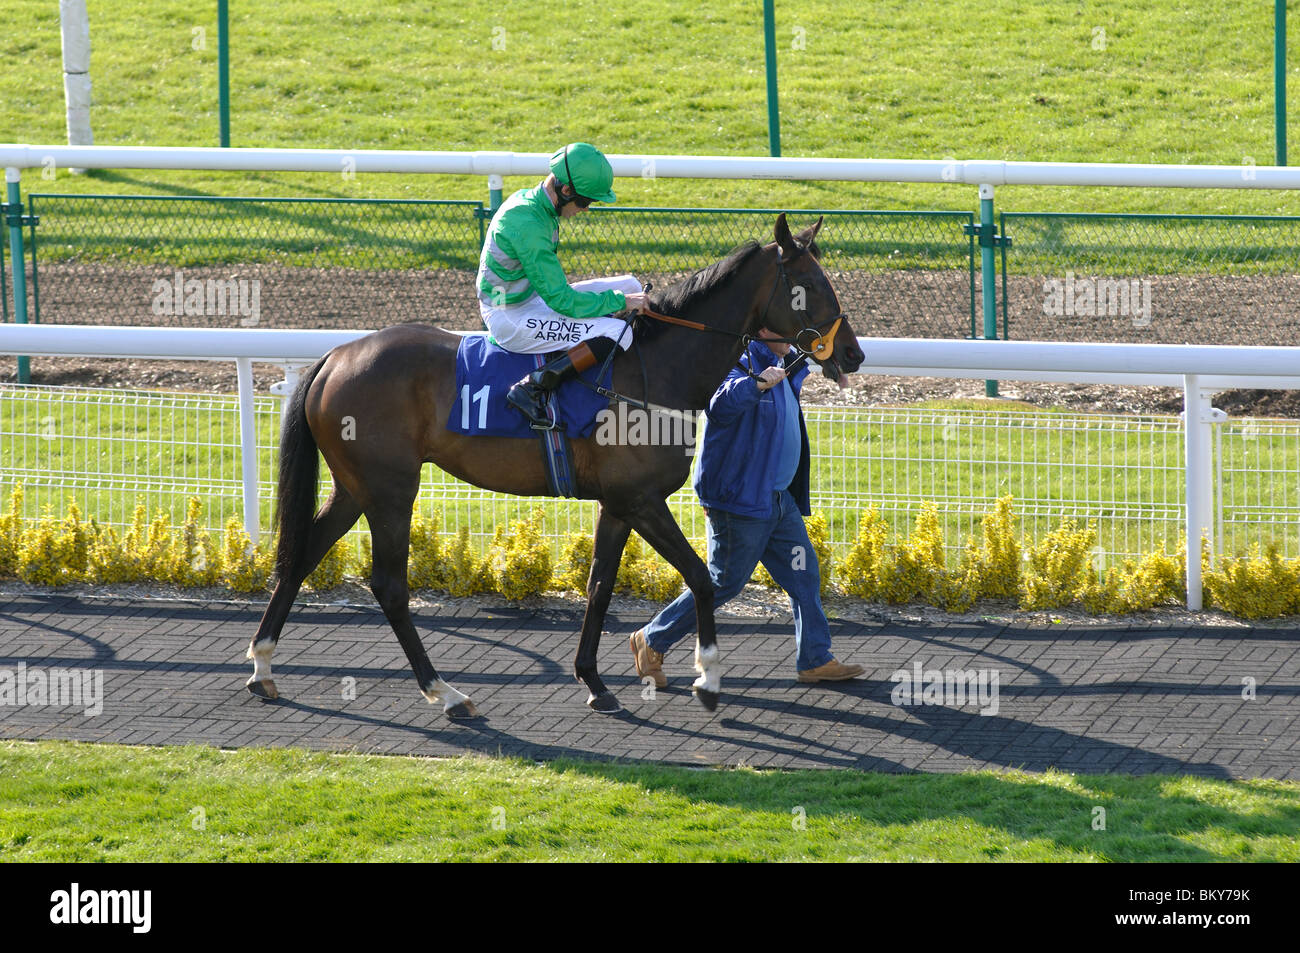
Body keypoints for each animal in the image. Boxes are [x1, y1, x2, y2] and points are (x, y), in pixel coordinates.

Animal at [245, 213, 863, 712]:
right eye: (809, 286)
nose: (854, 353)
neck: (654, 370)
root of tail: (334, 356)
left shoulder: (618, 504)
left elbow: (600, 585)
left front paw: (595, 683)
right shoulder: (642, 499)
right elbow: (700, 579)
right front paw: (707, 679)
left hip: (355, 487)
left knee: (300, 556)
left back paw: (263, 666)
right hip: (392, 489)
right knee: (389, 585)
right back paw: (446, 693)